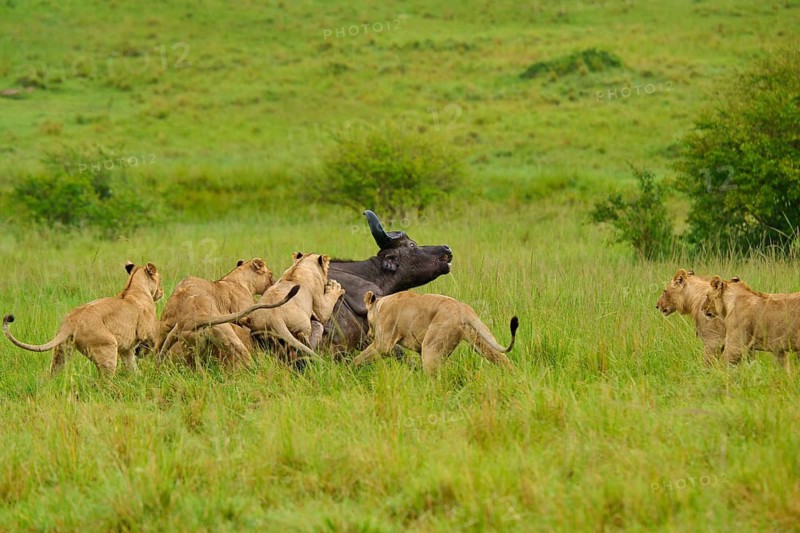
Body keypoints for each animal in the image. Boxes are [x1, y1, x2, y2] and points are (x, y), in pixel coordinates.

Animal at [2, 261, 163, 377]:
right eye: (159, 279)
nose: (162, 291)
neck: (134, 287)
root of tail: (71, 320)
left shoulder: (126, 349)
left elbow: (133, 368)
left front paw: (138, 380)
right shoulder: (148, 334)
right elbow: (156, 346)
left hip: (62, 351)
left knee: (51, 374)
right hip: (107, 348)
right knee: (104, 381)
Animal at [352, 291, 518, 374]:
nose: (369, 333)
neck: (380, 304)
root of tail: (464, 309)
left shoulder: (384, 343)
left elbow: (362, 356)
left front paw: (350, 368)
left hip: (431, 347)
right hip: (479, 340)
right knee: (502, 358)